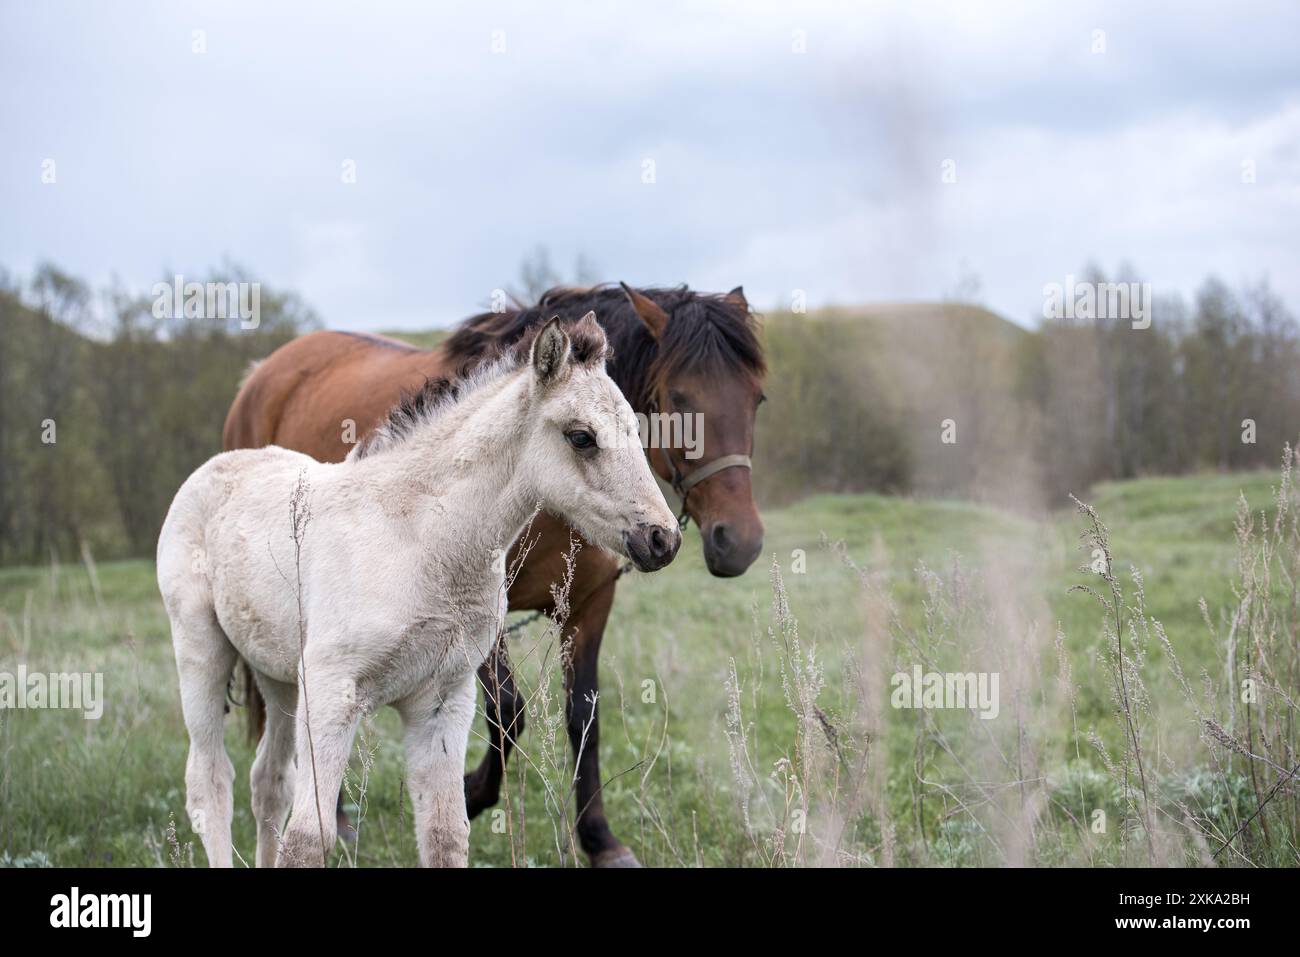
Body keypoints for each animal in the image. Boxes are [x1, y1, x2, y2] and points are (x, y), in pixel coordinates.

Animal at [223, 283, 767, 866]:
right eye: (679, 399)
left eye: (757, 399)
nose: (738, 542)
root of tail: (261, 372)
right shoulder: (479, 623)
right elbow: (508, 711)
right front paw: (470, 791)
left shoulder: (588, 606)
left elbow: (584, 716)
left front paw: (600, 839)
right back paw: (341, 817)